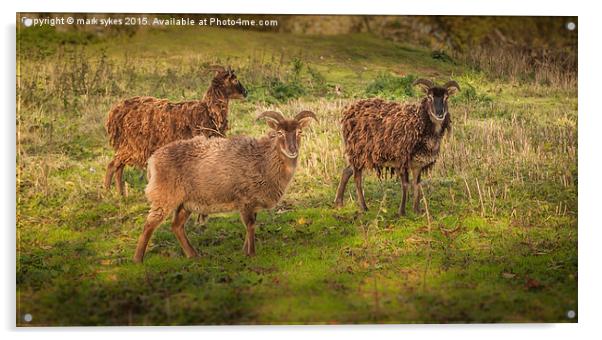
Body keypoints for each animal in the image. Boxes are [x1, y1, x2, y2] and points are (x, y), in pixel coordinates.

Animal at [103, 65, 246, 197]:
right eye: (235, 79)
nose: (245, 92)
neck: (209, 111)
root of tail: (116, 111)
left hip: (126, 146)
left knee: (118, 167)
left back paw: (120, 194)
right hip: (131, 145)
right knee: (112, 165)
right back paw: (108, 192)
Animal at [332, 78, 460, 214]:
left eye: (446, 97)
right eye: (429, 97)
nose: (440, 113)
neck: (420, 123)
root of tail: (349, 110)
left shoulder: (418, 163)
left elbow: (417, 184)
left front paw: (416, 210)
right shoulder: (402, 159)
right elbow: (405, 185)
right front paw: (402, 212)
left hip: (363, 155)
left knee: (347, 171)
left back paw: (339, 202)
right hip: (358, 151)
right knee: (357, 178)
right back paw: (363, 207)